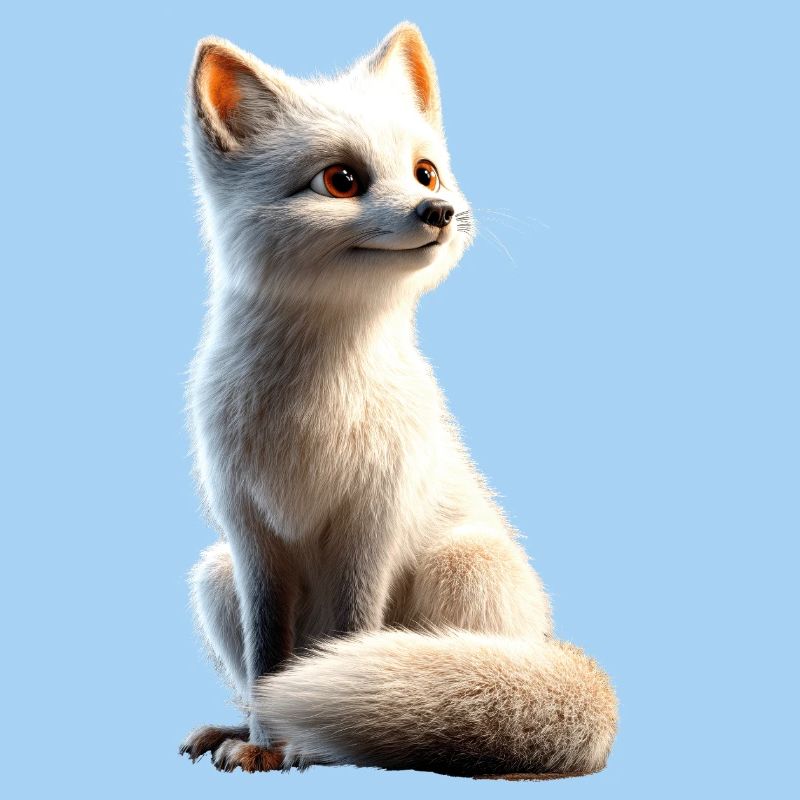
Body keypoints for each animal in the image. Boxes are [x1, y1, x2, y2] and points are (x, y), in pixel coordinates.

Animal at [179, 22, 617, 779]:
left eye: (425, 172)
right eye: (342, 180)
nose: (437, 212)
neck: (313, 408)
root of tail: (547, 639)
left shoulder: (373, 517)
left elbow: (353, 634)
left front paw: (310, 746)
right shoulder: (251, 535)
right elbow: (269, 662)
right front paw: (264, 742)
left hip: (463, 565)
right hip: (214, 575)